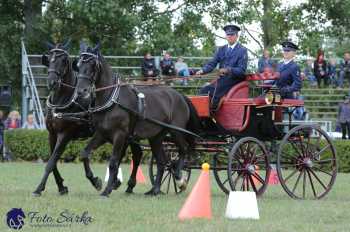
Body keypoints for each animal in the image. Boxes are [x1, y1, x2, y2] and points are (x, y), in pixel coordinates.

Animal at [73, 42, 200, 197]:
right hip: (156, 137)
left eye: (93, 64)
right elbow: (85, 153)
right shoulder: (102, 134)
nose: (81, 91)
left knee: (183, 149)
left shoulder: (120, 135)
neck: (112, 97)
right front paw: (96, 181)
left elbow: (113, 162)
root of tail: (180, 95)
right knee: (162, 161)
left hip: (176, 131)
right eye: (78, 64)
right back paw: (155, 190)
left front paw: (107, 190)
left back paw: (179, 179)